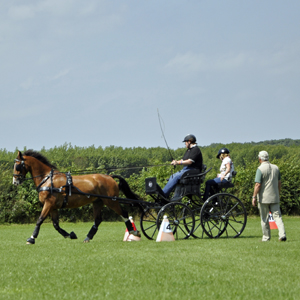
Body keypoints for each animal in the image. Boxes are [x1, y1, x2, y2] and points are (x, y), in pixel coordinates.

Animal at [12, 149, 141, 244]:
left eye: (17, 166)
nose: (15, 182)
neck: (47, 179)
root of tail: (109, 176)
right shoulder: (53, 207)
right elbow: (56, 225)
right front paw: (71, 235)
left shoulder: (48, 204)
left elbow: (40, 220)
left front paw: (31, 238)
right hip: (98, 202)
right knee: (98, 220)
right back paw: (88, 237)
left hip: (111, 201)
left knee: (124, 213)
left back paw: (133, 231)